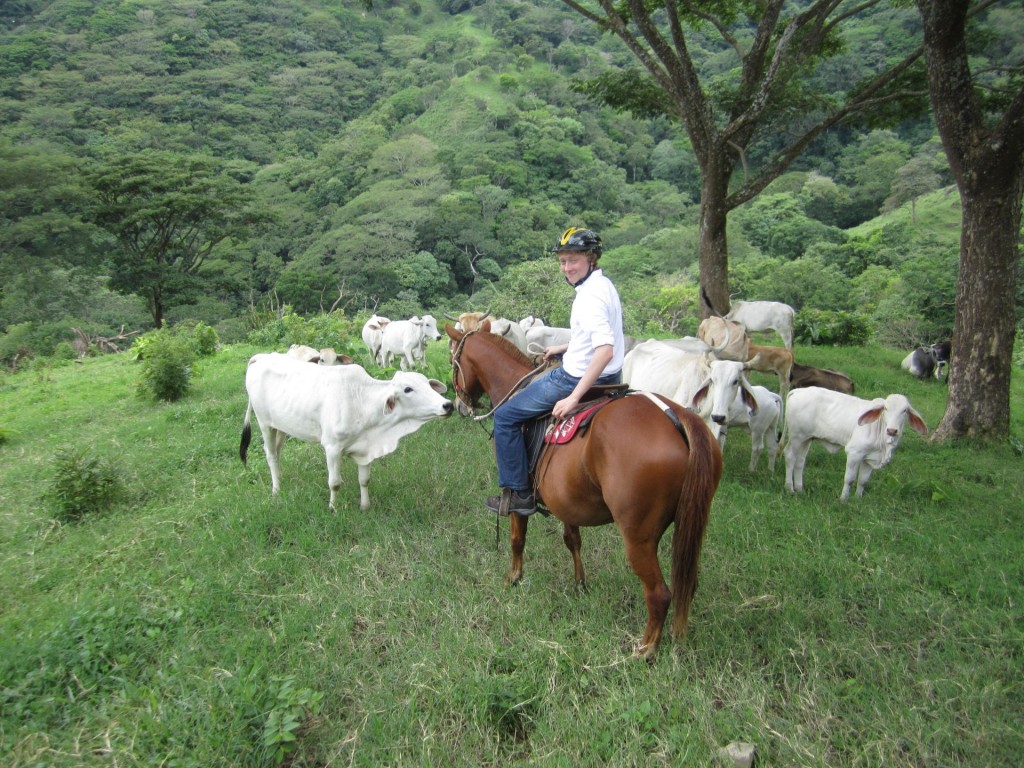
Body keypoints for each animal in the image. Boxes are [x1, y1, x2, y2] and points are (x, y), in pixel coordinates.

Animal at [239, 354, 452, 512]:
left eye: (428, 384)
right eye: (408, 389)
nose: (447, 405)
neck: (362, 402)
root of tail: (261, 357)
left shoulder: (366, 448)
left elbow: (364, 480)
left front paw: (365, 507)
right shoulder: (332, 447)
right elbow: (334, 482)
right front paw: (333, 508)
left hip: (281, 427)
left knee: (277, 452)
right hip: (265, 423)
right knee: (270, 454)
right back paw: (276, 490)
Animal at [444, 325, 724, 663]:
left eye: (452, 359)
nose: (459, 405)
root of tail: (678, 417)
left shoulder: (515, 491)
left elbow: (516, 538)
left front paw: (513, 578)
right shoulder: (565, 500)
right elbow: (572, 540)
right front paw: (580, 584)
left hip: (638, 538)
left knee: (660, 593)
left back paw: (645, 648)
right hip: (690, 524)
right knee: (688, 583)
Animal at [782, 387, 929, 501]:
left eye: (905, 410)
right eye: (886, 408)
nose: (892, 430)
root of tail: (798, 390)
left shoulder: (869, 458)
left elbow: (863, 481)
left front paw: (858, 499)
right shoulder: (854, 453)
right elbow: (849, 479)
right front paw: (843, 500)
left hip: (806, 438)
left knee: (800, 461)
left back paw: (799, 489)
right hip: (796, 436)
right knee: (789, 456)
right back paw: (789, 489)